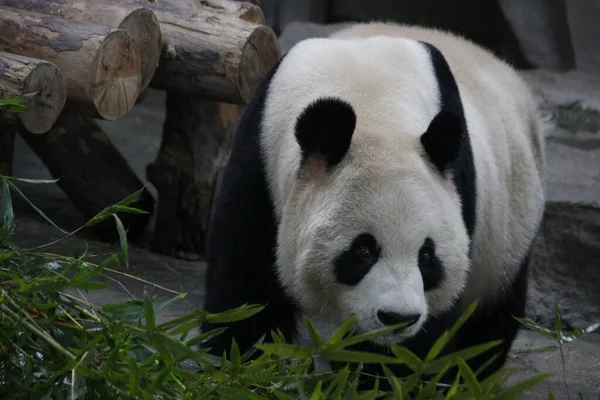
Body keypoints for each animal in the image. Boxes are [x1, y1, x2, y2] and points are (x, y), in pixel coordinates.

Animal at [203, 20, 548, 382]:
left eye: (427, 256)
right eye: (364, 250)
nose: (398, 318)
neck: (372, 109)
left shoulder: (459, 192)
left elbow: (425, 339)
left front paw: (387, 376)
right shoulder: (260, 156)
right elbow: (246, 289)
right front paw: (238, 371)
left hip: (508, 231)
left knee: (489, 324)